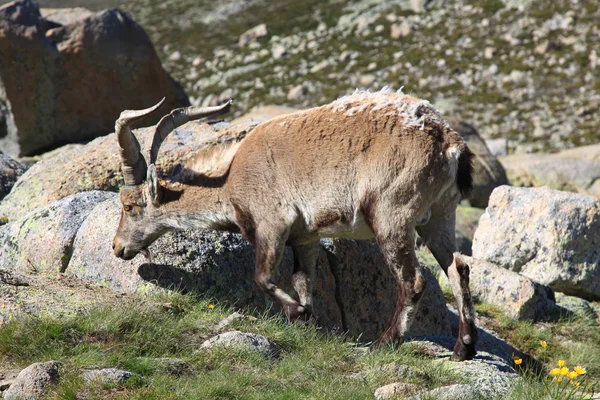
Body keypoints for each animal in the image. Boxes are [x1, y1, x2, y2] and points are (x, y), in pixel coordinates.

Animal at [111, 89, 478, 360]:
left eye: (129, 206)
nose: (117, 247)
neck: (231, 179)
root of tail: (448, 143)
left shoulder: (272, 223)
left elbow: (262, 277)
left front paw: (297, 314)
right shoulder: (306, 237)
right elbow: (304, 280)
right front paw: (308, 326)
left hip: (392, 215)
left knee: (414, 281)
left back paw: (385, 343)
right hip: (439, 217)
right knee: (458, 269)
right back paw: (464, 348)